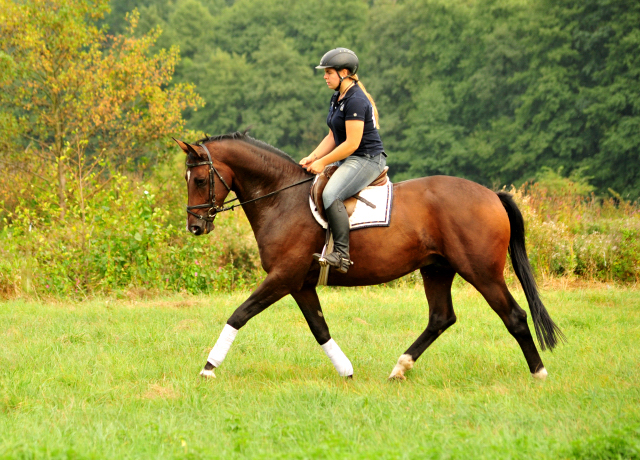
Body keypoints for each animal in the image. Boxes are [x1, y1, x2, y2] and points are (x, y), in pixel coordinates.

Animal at [175, 132, 564, 380]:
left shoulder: (283, 277)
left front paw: (208, 367)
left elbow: (239, 315)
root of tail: (491, 195)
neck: (281, 199)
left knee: (514, 316)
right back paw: (400, 368)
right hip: (437, 269)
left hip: (482, 273)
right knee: (441, 318)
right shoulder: (300, 284)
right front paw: (346, 371)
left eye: (199, 180)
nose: (194, 227)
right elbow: (319, 328)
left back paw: (540, 373)